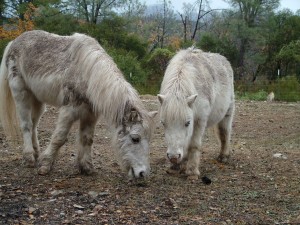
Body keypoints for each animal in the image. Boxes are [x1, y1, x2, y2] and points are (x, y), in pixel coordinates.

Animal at [0, 29, 157, 179]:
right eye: (135, 139)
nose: (143, 173)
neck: (88, 75)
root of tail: (14, 42)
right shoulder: (69, 111)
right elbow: (59, 138)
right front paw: (45, 165)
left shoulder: (90, 115)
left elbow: (87, 139)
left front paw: (86, 167)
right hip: (21, 93)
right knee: (26, 125)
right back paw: (29, 157)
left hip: (38, 100)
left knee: (34, 125)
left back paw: (36, 152)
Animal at [157, 47, 234, 179]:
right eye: (163, 123)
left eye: (187, 123)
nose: (173, 157)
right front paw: (176, 166)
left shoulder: (199, 120)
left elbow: (194, 144)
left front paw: (192, 171)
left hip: (227, 113)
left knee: (225, 132)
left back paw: (223, 156)